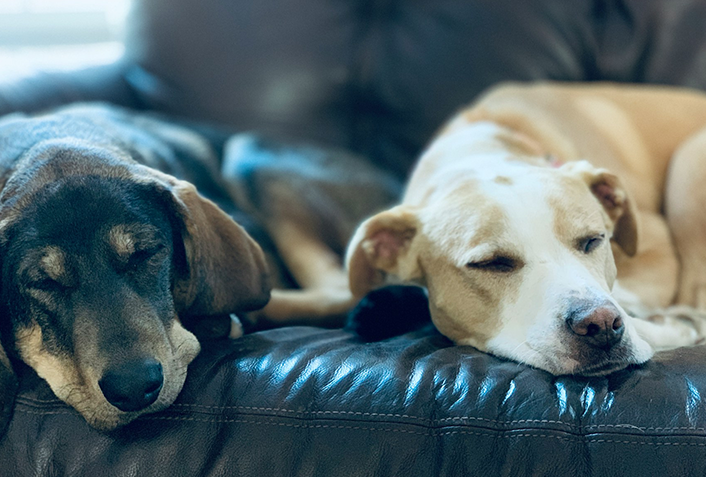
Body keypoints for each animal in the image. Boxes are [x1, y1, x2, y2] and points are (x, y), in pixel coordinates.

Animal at [346, 82, 706, 376]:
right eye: (491, 263)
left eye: (593, 241)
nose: (601, 324)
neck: (483, 156)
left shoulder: (657, 248)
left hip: (688, 165)